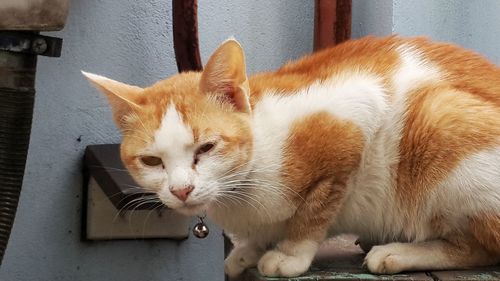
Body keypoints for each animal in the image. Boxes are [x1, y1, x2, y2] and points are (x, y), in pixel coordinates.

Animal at [84, 36, 498, 276]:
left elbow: (315, 209)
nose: (181, 190)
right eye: (152, 161)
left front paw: (290, 254)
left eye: (206, 148)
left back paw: (400, 252)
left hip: (441, 121)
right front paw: (249, 250)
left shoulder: (356, 116)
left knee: (483, 247)